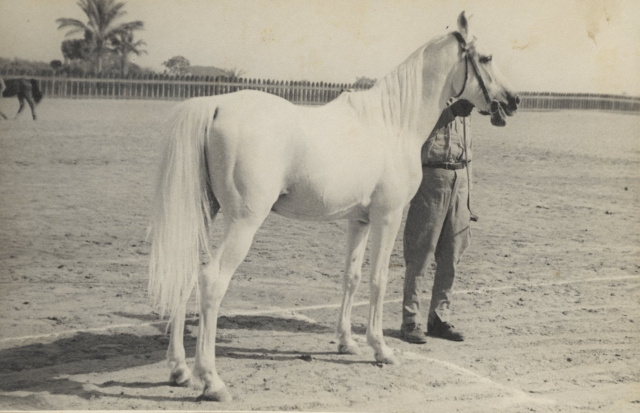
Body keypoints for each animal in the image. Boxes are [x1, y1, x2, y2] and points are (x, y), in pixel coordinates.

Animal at [148, 11, 516, 400]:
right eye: (487, 58)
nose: (513, 100)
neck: (392, 122)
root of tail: (214, 105)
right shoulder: (387, 217)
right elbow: (378, 280)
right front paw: (381, 349)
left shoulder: (360, 220)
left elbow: (351, 277)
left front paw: (346, 342)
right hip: (244, 222)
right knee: (212, 280)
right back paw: (212, 380)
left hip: (204, 213)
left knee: (186, 272)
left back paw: (179, 370)